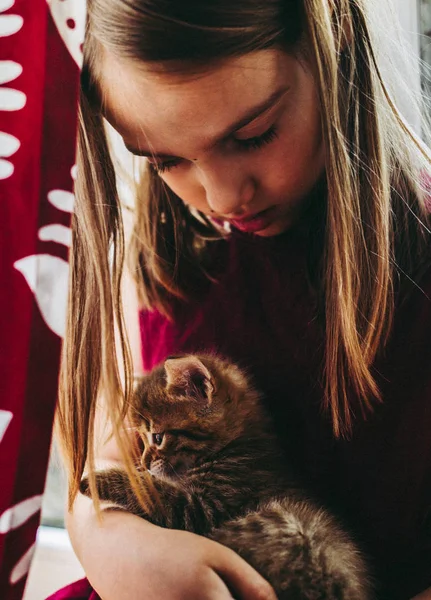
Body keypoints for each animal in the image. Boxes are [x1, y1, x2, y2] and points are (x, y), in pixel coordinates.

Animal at [80, 354, 372, 596]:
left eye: (158, 437)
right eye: (141, 439)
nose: (144, 462)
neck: (236, 444)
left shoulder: (205, 507)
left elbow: (157, 493)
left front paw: (96, 480)